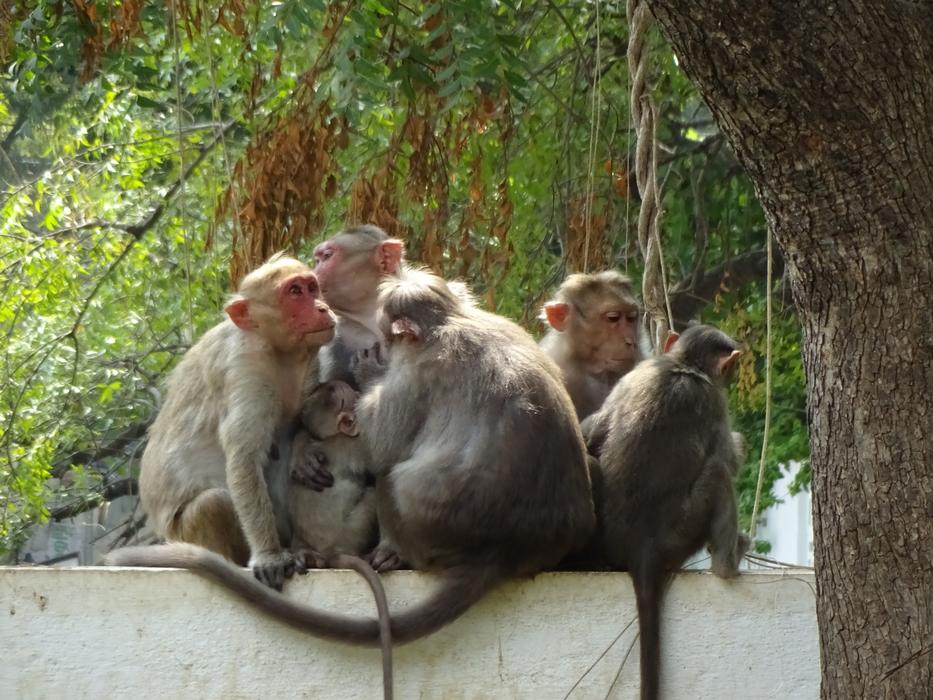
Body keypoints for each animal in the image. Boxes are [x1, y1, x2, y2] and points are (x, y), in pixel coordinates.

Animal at [137, 254, 336, 590]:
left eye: (312, 287)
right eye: (294, 292)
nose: (322, 307)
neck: (275, 347)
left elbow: (302, 417)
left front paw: (303, 453)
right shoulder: (246, 368)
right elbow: (244, 459)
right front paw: (270, 556)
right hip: (182, 532)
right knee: (213, 503)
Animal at [288, 380, 378, 567]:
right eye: (352, 397)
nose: (359, 393)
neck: (334, 436)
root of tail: (331, 552)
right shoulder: (356, 445)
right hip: (353, 533)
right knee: (372, 495)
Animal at [581, 324, 750, 700]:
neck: (684, 364)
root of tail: (640, 549)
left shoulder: (631, 376)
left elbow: (594, 429)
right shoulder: (713, 401)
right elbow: (727, 458)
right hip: (682, 534)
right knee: (717, 473)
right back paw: (727, 566)